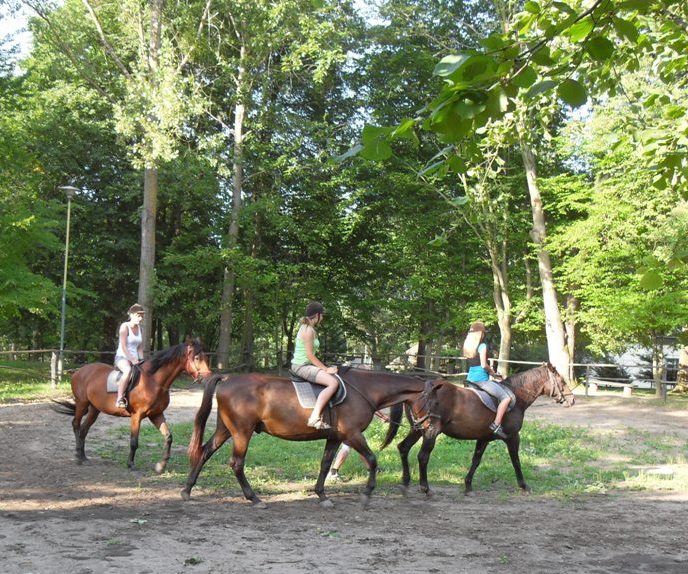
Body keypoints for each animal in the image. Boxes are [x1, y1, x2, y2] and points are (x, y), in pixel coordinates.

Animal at [51, 340, 211, 473]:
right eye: (197, 358)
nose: (207, 377)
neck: (153, 381)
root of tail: (79, 372)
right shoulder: (137, 416)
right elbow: (134, 441)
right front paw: (131, 464)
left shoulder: (156, 414)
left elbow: (168, 437)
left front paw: (161, 466)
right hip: (82, 404)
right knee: (76, 425)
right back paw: (78, 456)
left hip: (94, 409)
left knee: (84, 429)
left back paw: (83, 457)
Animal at [181, 368, 430, 509]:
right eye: (433, 400)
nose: (427, 427)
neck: (364, 390)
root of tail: (227, 378)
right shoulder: (352, 434)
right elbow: (372, 459)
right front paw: (367, 494)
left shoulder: (335, 437)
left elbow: (325, 463)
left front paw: (322, 495)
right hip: (242, 432)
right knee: (236, 463)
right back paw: (254, 499)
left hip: (226, 429)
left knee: (205, 452)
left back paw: (187, 490)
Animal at [381, 362, 575, 496]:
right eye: (561, 381)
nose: (572, 400)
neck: (517, 397)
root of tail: (420, 386)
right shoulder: (513, 437)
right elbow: (516, 461)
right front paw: (524, 486)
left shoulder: (483, 438)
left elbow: (476, 460)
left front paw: (468, 486)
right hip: (430, 431)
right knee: (422, 456)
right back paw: (425, 488)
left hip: (417, 429)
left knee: (403, 448)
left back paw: (405, 483)